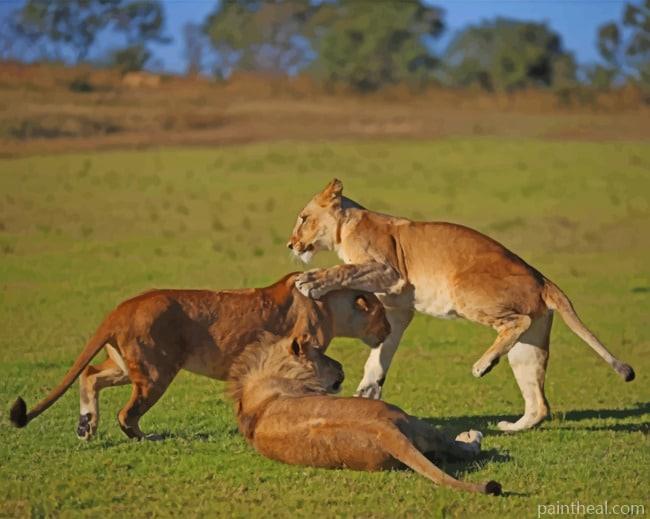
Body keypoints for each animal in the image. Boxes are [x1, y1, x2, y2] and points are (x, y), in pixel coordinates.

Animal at [9, 271, 390, 440]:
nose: (388, 331)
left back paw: (85, 427)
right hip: (155, 372)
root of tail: (120, 309)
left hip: (127, 366)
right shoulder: (304, 350)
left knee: (89, 375)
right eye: (381, 315)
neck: (329, 305)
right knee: (125, 413)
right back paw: (142, 437)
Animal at [228, 333, 502, 496]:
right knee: (460, 448)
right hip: (414, 421)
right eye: (321, 353)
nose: (341, 366)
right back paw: (471, 436)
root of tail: (383, 430)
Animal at [287, 179, 635, 432]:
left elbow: (344, 271)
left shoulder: (389, 271)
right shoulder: (398, 308)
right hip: (529, 345)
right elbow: (380, 355)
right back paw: (511, 426)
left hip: (462, 289)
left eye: (304, 218)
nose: (290, 245)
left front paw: (311, 281)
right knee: (539, 404)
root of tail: (542, 278)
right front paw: (368, 392)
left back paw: (483, 365)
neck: (344, 229)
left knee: (516, 322)